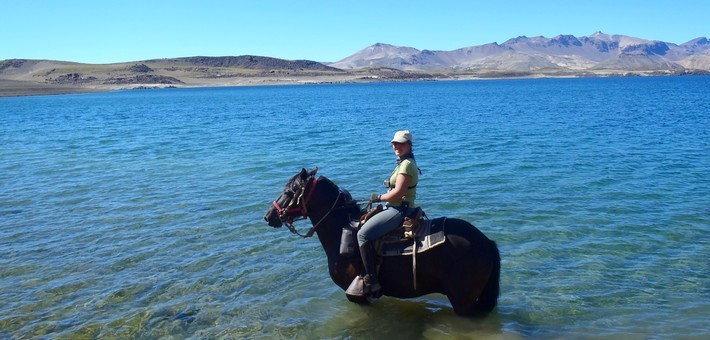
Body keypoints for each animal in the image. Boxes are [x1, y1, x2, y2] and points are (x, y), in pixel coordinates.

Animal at [264, 167, 504, 316]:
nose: (269, 216)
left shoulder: (357, 297)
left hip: (463, 302)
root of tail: (486, 242)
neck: (339, 232)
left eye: (289, 191)